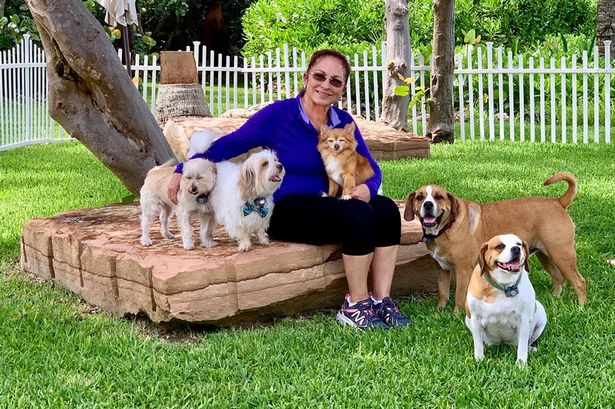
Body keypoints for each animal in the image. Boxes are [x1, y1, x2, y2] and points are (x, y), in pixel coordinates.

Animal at [404, 171, 588, 310]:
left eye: (438, 197)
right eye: (420, 197)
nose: (428, 204)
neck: (446, 228)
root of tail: (558, 202)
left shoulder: (463, 270)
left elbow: (459, 296)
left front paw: (456, 315)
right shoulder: (442, 268)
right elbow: (443, 292)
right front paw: (439, 311)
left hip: (561, 254)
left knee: (579, 281)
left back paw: (581, 307)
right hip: (546, 255)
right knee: (558, 278)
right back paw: (554, 300)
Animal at [466, 233, 548, 364]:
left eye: (519, 244)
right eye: (500, 246)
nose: (516, 249)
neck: (503, 286)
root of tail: (503, 343)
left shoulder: (523, 319)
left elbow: (522, 346)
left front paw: (521, 364)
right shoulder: (475, 318)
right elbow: (478, 344)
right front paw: (479, 360)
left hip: (540, 311)